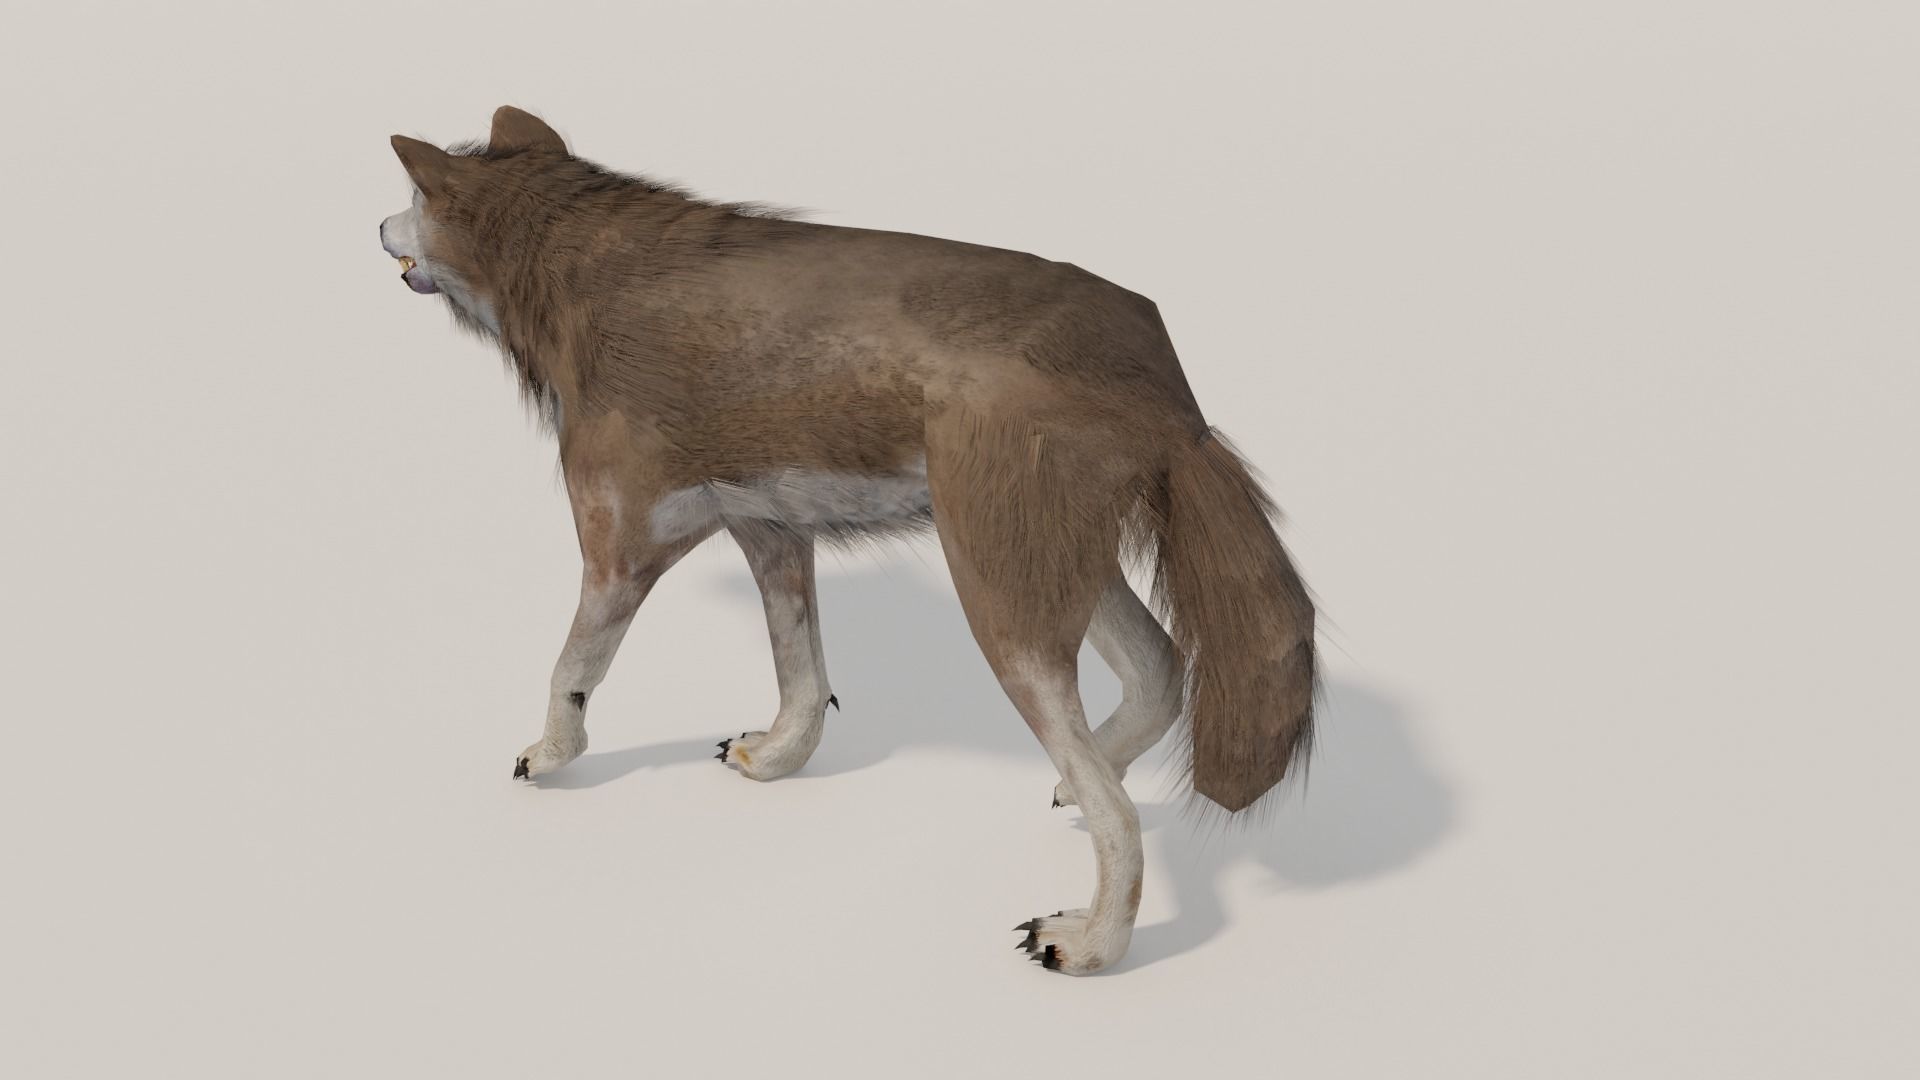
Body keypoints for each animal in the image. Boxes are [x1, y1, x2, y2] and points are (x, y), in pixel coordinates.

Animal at [379, 107, 1317, 975]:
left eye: (411, 199)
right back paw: (1080, 790)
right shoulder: (770, 530)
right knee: (1160, 669)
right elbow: (802, 674)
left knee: (1122, 804)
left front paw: (548, 754)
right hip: (1044, 573)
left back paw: (1088, 943)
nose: (377, 227)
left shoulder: (621, 544)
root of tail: (1163, 372)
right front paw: (775, 759)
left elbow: (571, 670)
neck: (576, 272)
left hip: (999, 602)